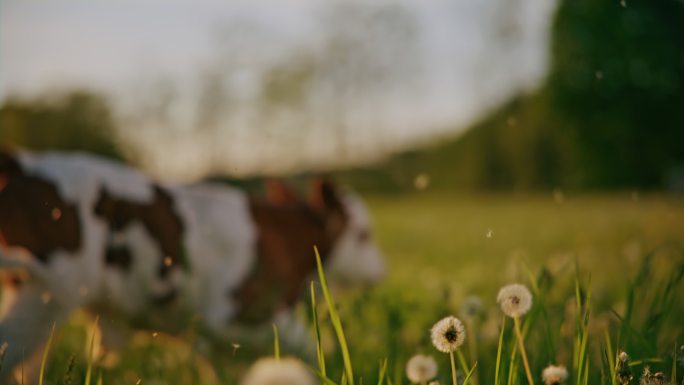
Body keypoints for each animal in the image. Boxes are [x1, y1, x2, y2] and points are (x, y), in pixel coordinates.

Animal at [0, 148, 384, 380]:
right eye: (364, 234)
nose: (382, 269)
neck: (282, 236)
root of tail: (24, 164)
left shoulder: (216, 343)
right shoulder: (233, 315)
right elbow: (307, 344)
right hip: (37, 300)